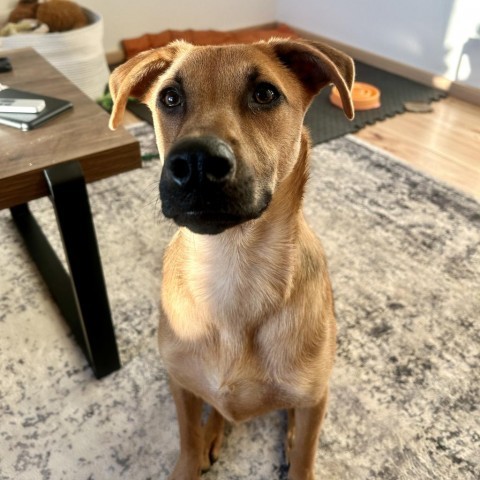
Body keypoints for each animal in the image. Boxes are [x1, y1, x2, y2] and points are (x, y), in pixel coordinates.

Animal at [110, 38, 354, 480]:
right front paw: (195, 451)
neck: (232, 269)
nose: (196, 163)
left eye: (265, 94)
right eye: (170, 97)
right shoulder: (181, 385)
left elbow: (305, 455)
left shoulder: (314, 398)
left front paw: (297, 451)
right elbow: (188, 440)